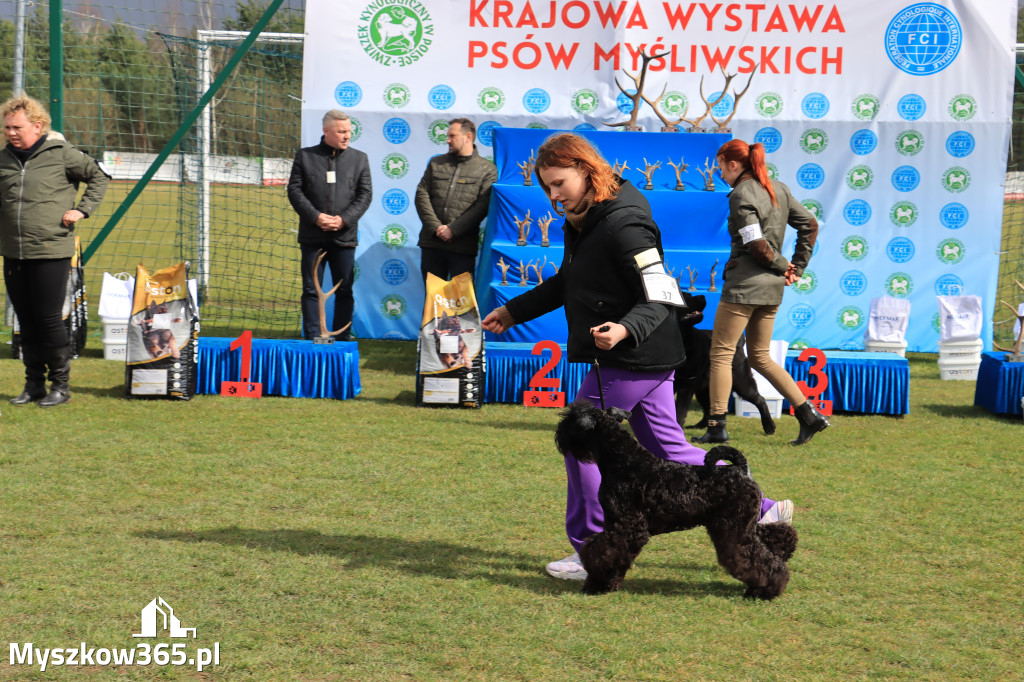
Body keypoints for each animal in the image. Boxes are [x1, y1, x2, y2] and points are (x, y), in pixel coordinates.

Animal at [552, 401, 798, 598]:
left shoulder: (627, 528)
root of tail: (739, 470)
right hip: (741, 526)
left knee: (755, 558)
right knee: (774, 536)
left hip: (734, 530)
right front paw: (606, 582)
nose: (559, 435)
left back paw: (766, 589)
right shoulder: (618, 525)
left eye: (570, 418)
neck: (624, 462)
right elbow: (607, 550)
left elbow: (602, 551)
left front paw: (598, 583)